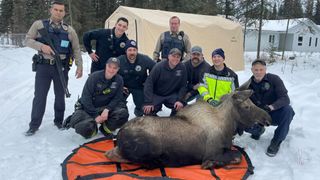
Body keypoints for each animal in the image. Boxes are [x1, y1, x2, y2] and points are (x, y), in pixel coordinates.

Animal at [106, 90, 272, 169]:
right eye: (247, 106)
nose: (268, 118)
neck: (229, 127)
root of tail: (119, 135)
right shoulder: (212, 153)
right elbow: (237, 155)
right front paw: (212, 164)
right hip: (151, 147)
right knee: (113, 155)